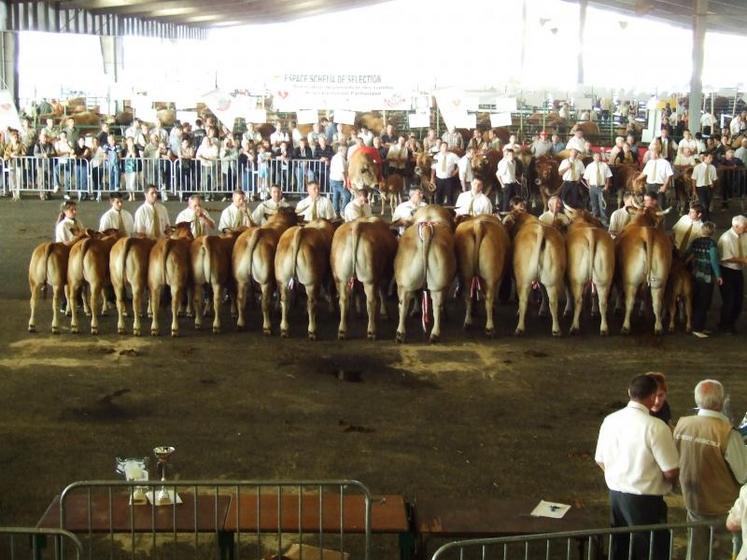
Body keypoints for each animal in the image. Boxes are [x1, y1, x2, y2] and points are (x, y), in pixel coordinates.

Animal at [392, 206, 456, 344]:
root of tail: (426, 227)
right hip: (438, 284)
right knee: (436, 303)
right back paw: (434, 333)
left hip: (406, 282)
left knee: (404, 303)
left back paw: (401, 334)